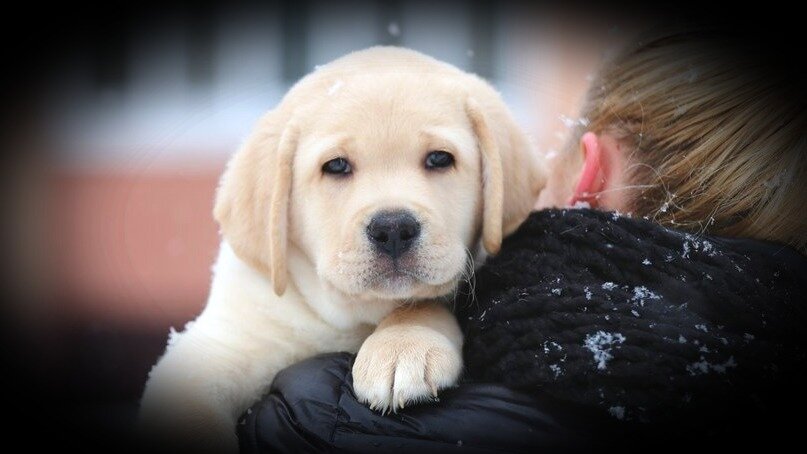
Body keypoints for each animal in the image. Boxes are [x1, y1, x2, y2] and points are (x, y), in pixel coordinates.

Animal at [139, 47, 548, 450]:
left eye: (439, 159)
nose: (393, 228)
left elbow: (424, 303)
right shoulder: (223, 345)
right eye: (335, 166)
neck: (351, 317)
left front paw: (403, 345)